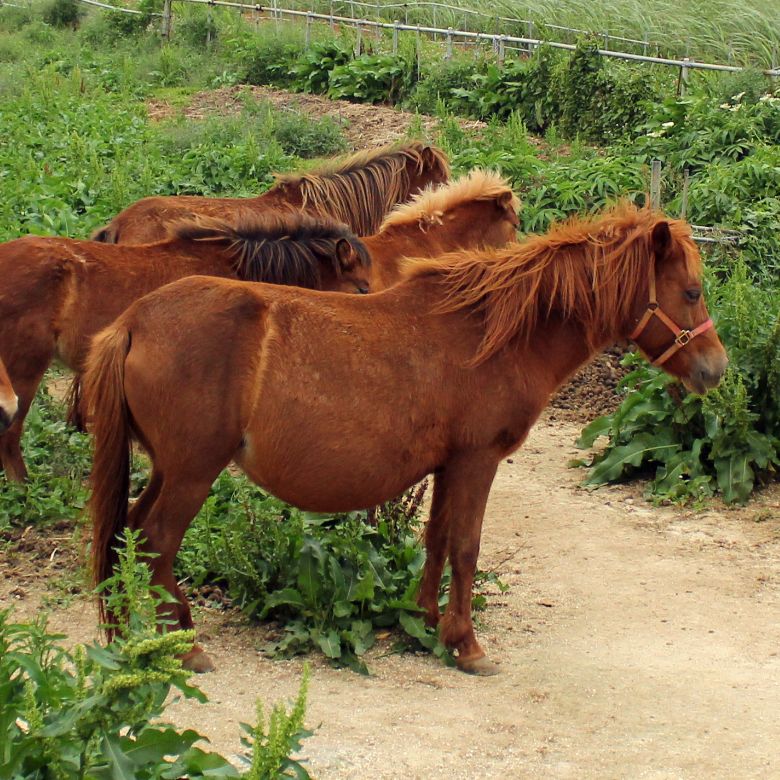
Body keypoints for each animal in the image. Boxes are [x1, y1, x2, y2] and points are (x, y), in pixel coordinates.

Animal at [85, 204, 724, 672]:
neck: (492, 334)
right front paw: (466, 644)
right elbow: (465, 546)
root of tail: (134, 321)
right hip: (192, 473)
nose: (715, 370)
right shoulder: (477, 462)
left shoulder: (447, 466)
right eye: (692, 292)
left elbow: (436, 539)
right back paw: (183, 644)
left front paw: (426, 624)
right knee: (157, 541)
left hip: (169, 469)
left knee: (131, 533)